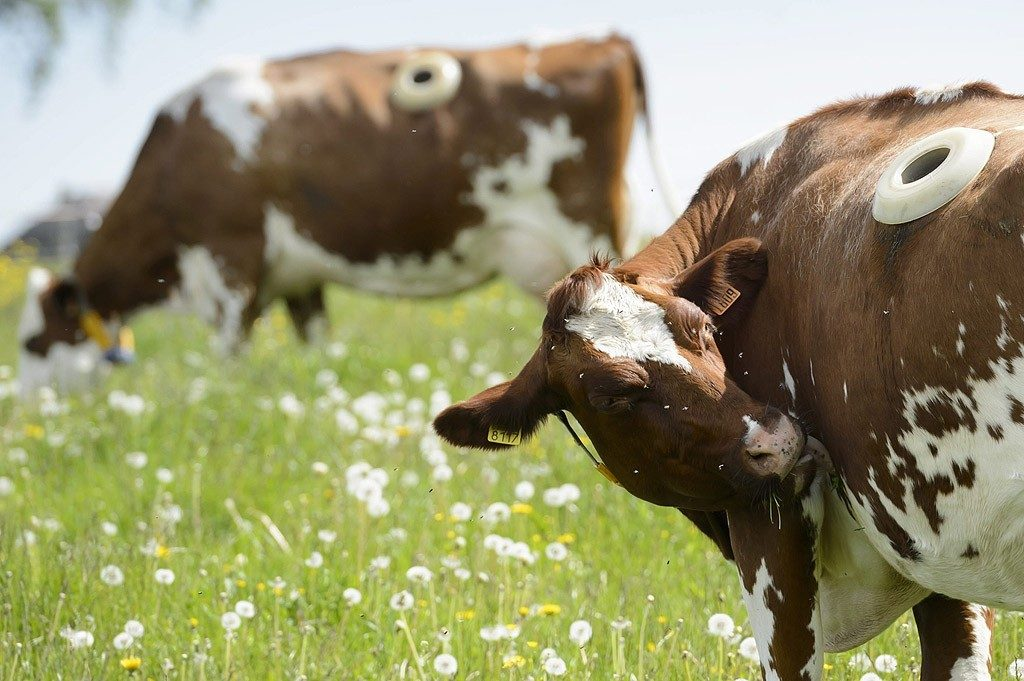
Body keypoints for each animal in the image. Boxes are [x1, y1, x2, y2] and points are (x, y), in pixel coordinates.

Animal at [16, 31, 675, 395]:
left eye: (30, 342)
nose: (24, 409)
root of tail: (604, 39)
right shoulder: (297, 278)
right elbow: (316, 343)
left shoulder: (230, 259)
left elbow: (229, 351)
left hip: (586, 224)